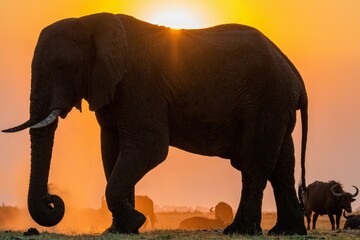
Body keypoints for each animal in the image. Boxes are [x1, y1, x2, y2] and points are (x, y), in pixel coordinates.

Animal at [1, 12, 308, 235]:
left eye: (62, 68)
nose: (52, 199)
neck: (90, 22)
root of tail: (293, 71)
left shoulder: (140, 85)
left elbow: (149, 148)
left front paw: (133, 222)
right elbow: (111, 150)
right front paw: (120, 230)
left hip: (266, 100)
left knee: (254, 163)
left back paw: (239, 231)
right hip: (276, 106)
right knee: (282, 166)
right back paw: (287, 232)